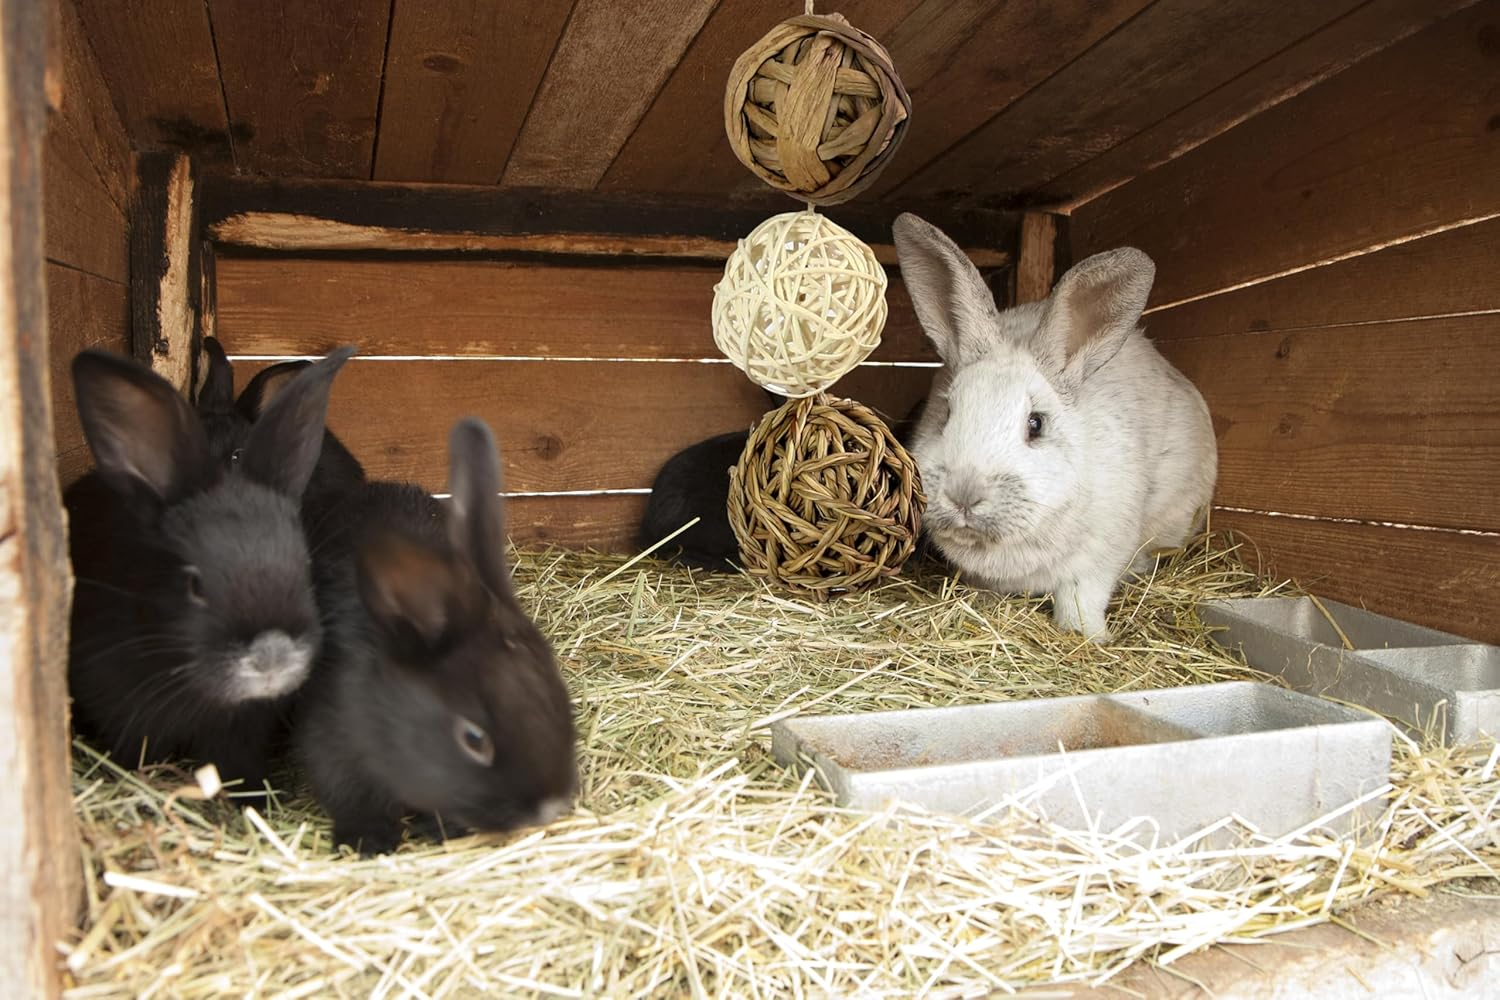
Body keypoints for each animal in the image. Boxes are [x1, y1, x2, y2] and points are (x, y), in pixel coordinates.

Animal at [295, 417, 578, 855]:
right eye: (473, 739)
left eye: (562, 701)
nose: (549, 808)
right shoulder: (330, 742)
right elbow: (350, 798)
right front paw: (368, 840)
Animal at [891, 213, 1217, 641]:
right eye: (946, 413)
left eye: (1036, 424)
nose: (963, 495)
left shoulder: (1099, 559)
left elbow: (1081, 599)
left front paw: (1090, 636)